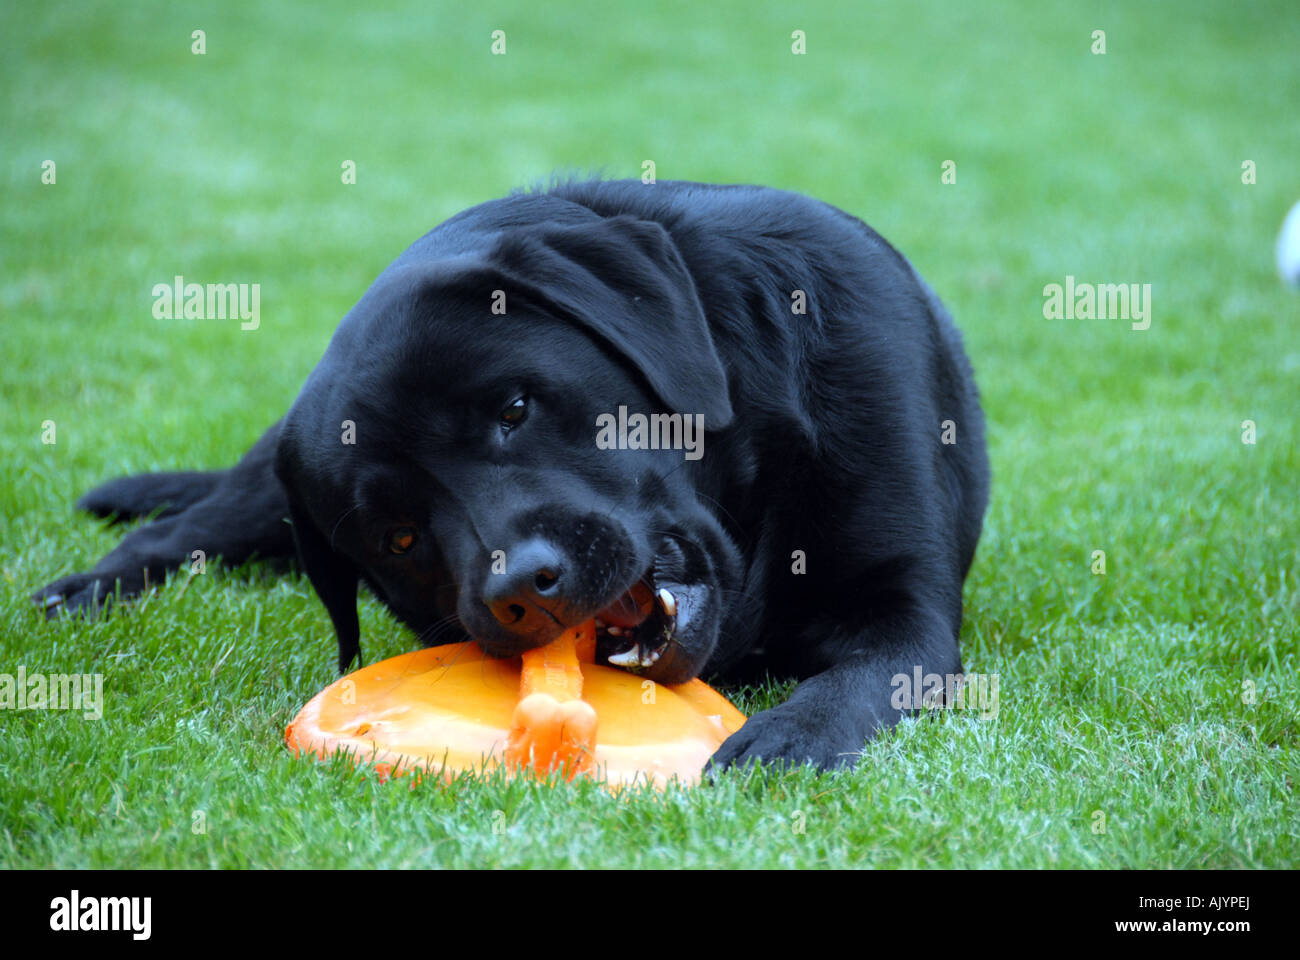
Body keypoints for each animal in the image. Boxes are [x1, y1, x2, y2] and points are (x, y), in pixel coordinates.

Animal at [35, 175, 987, 764]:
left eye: (516, 410)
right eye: (400, 536)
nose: (523, 589)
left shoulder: (904, 609)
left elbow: (855, 681)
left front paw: (784, 739)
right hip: (259, 493)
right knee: (178, 529)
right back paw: (82, 590)